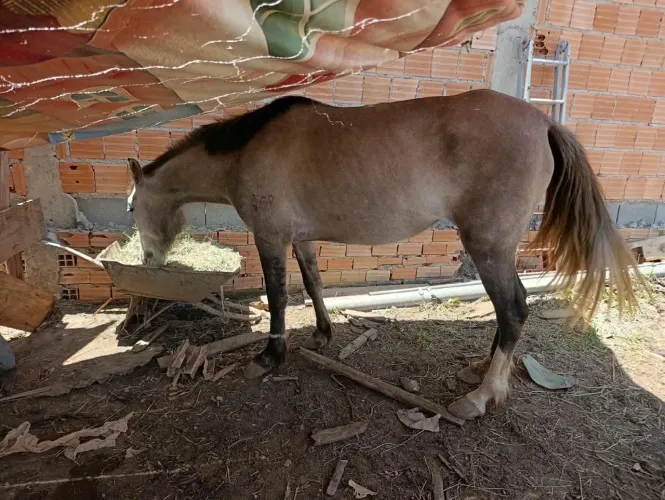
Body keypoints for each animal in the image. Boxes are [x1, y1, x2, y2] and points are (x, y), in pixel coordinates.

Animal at [126, 89, 639, 421]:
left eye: (131, 207)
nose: (148, 259)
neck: (247, 149)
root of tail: (544, 121)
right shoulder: (301, 238)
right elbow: (312, 283)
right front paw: (322, 334)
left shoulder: (270, 237)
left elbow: (276, 297)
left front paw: (270, 357)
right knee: (507, 311)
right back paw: (484, 371)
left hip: (489, 245)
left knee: (513, 308)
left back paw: (482, 396)